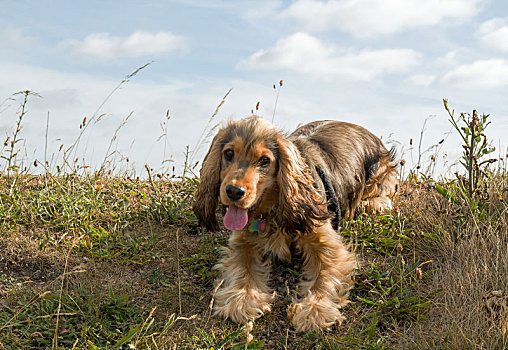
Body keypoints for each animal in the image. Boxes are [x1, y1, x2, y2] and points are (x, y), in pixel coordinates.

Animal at [192, 116, 394, 332]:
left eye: (265, 160)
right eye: (229, 153)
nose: (234, 192)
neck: (274, 207)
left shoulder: (328, 244)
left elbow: (325, 277)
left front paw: (314, 310)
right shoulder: (243, 240)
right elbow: (242, 266)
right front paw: (242, 299)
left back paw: (373, 203)